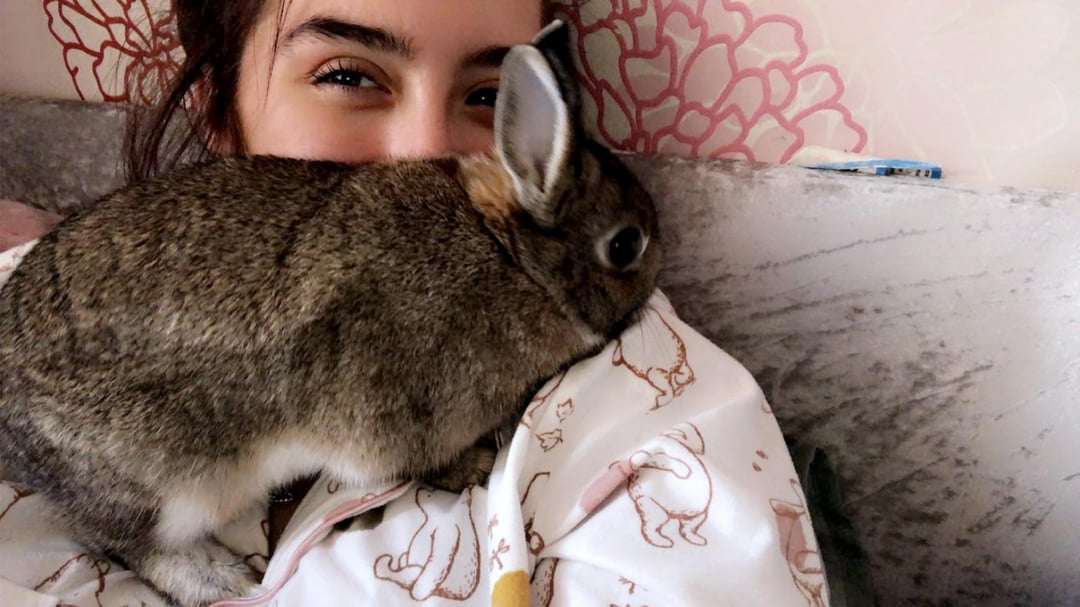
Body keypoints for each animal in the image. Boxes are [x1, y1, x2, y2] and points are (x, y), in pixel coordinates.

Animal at [0, 19, 660, 607]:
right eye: (626, 245)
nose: (651, 293)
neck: (513, 257)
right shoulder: (399, 412)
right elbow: (418, 460)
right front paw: (475, 464)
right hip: (159, 479)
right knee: (128, 542)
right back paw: (218, 579)